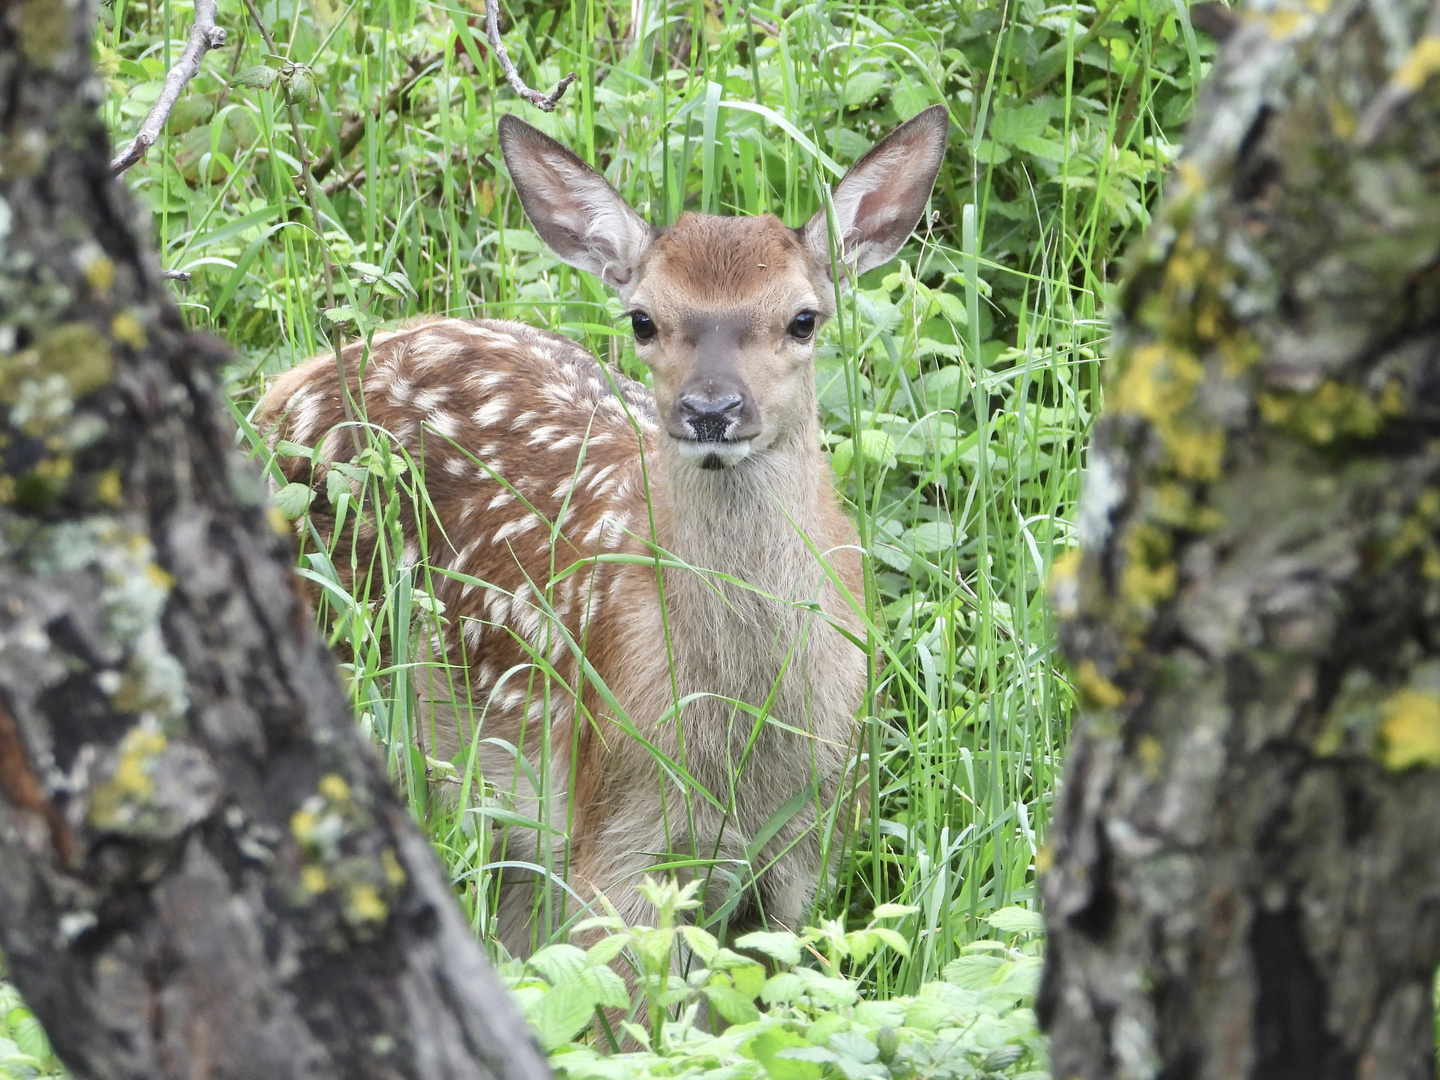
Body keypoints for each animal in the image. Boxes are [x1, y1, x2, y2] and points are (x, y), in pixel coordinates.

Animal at [256, 105, 956, 967]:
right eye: (644, 318)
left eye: (803, 318)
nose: (712, 410)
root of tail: (291, 383)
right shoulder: (616, 831)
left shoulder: (804, 849)